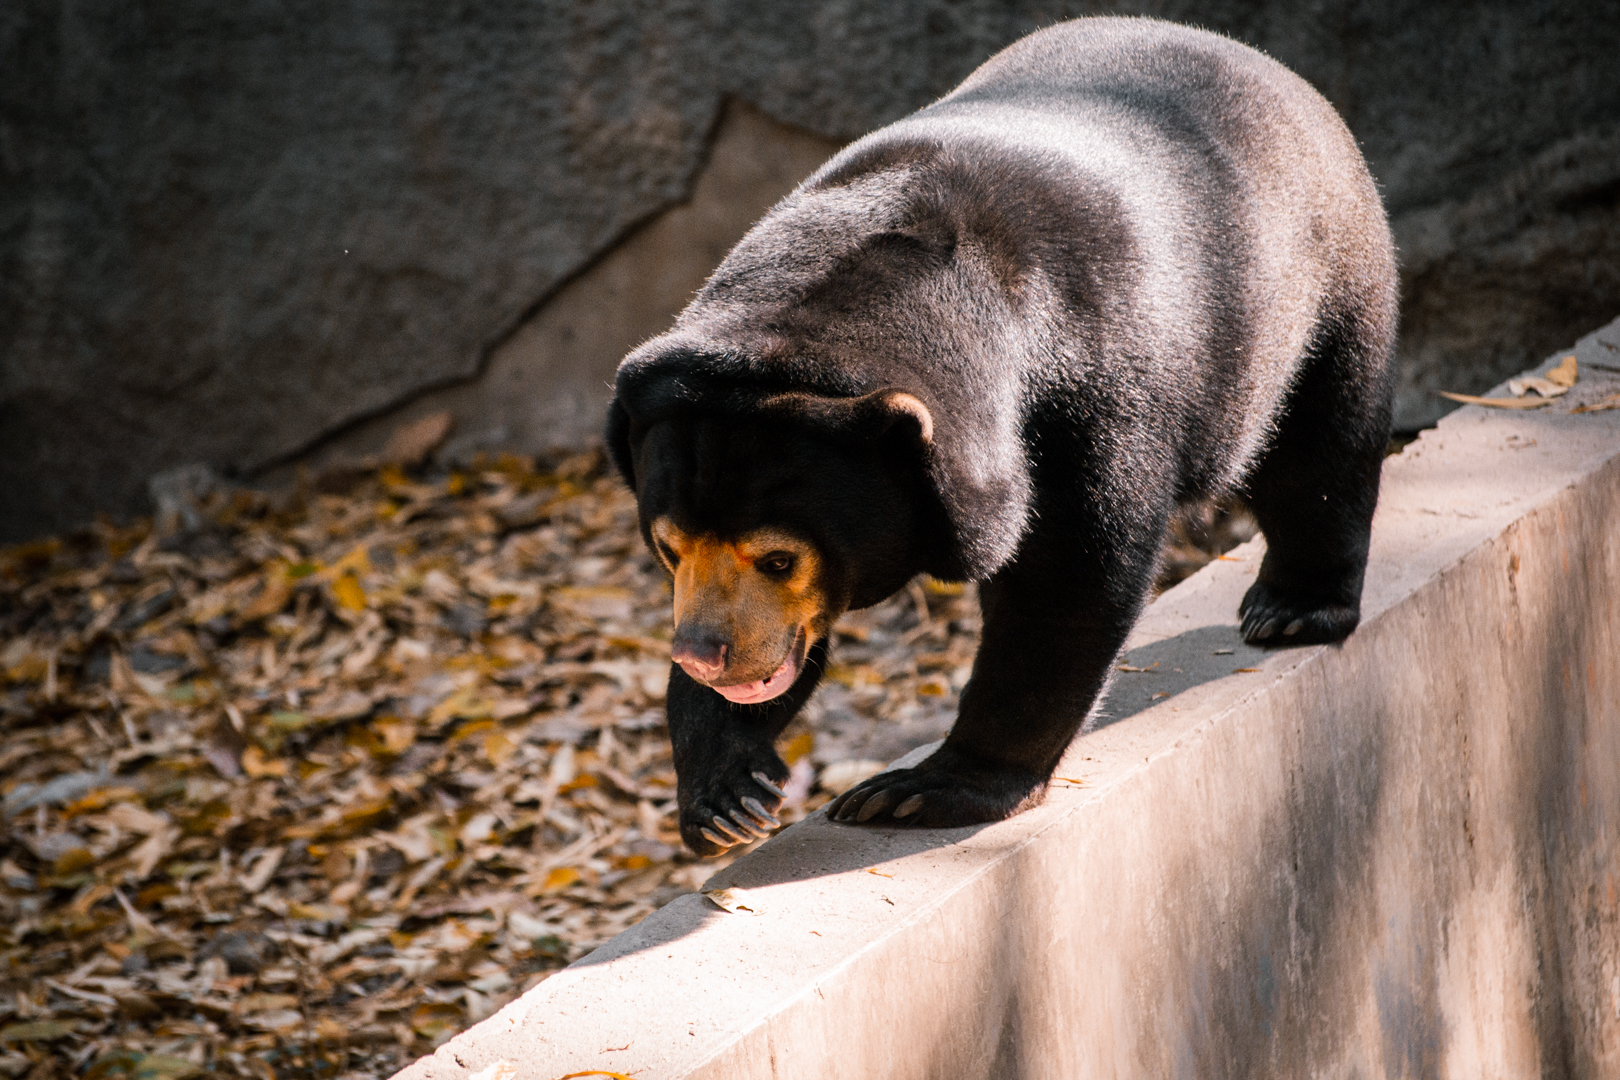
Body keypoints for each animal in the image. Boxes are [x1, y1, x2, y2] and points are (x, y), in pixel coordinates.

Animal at [606, 15, 1397, 856]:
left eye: (779, 557)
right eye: (669, 548)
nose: (704, 654)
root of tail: (1266, 66)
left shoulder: (1087, 397)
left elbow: (1071, 580)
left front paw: (918, 791)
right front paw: (727, 792)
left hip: (1320, 282)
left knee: (1322, 444)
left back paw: (1293, 609)